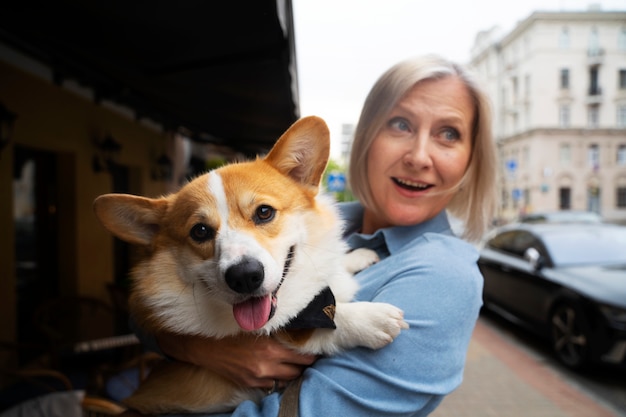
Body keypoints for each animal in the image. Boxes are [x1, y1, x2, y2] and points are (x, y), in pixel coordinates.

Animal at [91, 116, 404, 412]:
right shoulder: (279, 333)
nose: (244, 277)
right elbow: (312, 325)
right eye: (200, 231)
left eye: (264, 212)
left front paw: (358, 255)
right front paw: (369, 318)